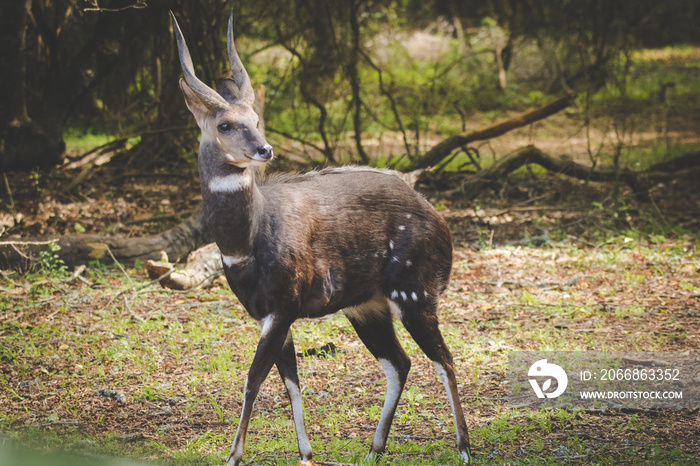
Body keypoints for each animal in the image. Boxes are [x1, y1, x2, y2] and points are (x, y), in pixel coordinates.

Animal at [172, 10, 474, 466]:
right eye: (225, 124)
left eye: (256, 119)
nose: (264, 150)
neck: (247, 241)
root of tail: (440, 223)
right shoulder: (270, 314)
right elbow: (289, 381)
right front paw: (306, 452)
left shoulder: (283, 307)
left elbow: (253, 378)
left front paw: (233, 456)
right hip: (366, 306)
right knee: (399, 362)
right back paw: (374, 448)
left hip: (414, 295)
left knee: (444, 359)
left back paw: (463, 449)